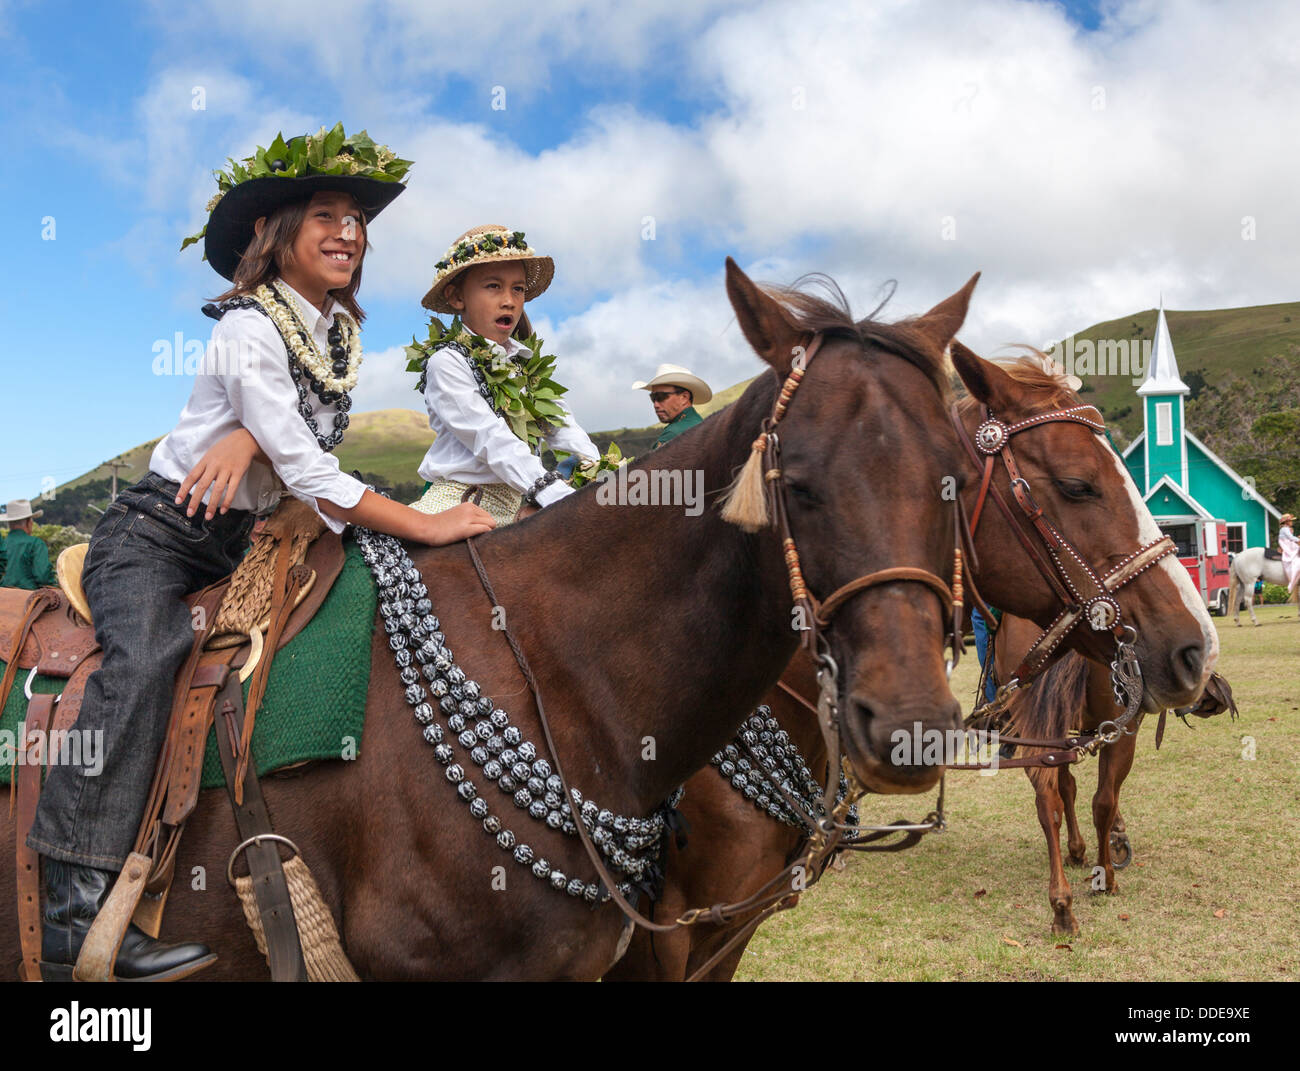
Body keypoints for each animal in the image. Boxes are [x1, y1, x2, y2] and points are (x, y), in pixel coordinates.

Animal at [603, 348, 1222, 982]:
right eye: (1078, 486)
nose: (1196, 646)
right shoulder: (669, 936)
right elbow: (1095, 794)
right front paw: (1103, 864)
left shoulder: (732, 925)